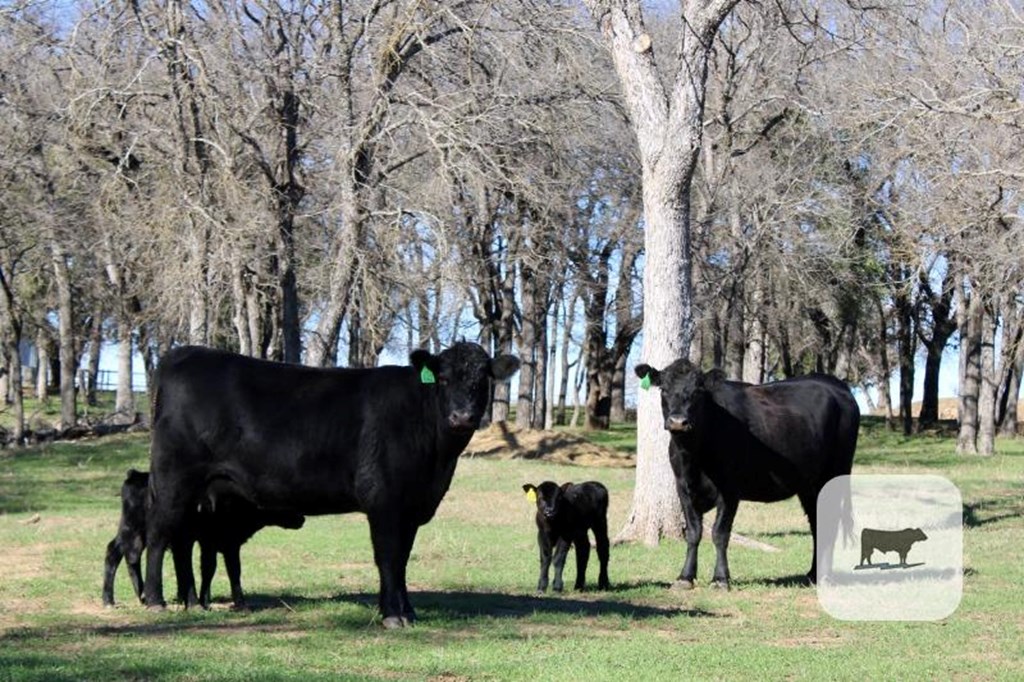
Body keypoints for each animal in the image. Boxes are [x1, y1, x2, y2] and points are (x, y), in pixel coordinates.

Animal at [102, 466, 303, 606]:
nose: (302, 518)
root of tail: (135, 475)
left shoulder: (226, 544)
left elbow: (225, 570)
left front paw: (204, 599)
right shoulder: (213, 542)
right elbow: (214, 569)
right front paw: (210, 601)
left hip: (133, 532)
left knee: (123, 554)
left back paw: (127, 597)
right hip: (132, 528)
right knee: (123, 553)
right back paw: (119, 597)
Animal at [144, 339, 520, 626]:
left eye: (482, 379)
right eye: (442, 378)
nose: (462, 417)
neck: (437, 461)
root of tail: (182, 354)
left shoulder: (412, 506)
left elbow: (402, 559)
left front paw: (408, 611)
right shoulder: (384, 499)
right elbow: (388, 557)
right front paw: (392, 615)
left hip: (196, 494)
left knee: (181, 541)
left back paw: (192, 602)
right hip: (173, 480)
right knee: (160, 535)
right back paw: (154, 600)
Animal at [630, 358, 856, 585]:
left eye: (697, 391)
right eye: (664, 390)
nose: (678, 421)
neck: (693, 456)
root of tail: (834, 383)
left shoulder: (729, 489)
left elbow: (720, 533)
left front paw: (720, 578)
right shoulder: (683, 488)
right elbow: (694, 532)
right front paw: (686, 576)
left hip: (835, 474)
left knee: (829, 521)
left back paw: (824, 576)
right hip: (809, 486)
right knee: (817, 522)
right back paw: (812, 574)